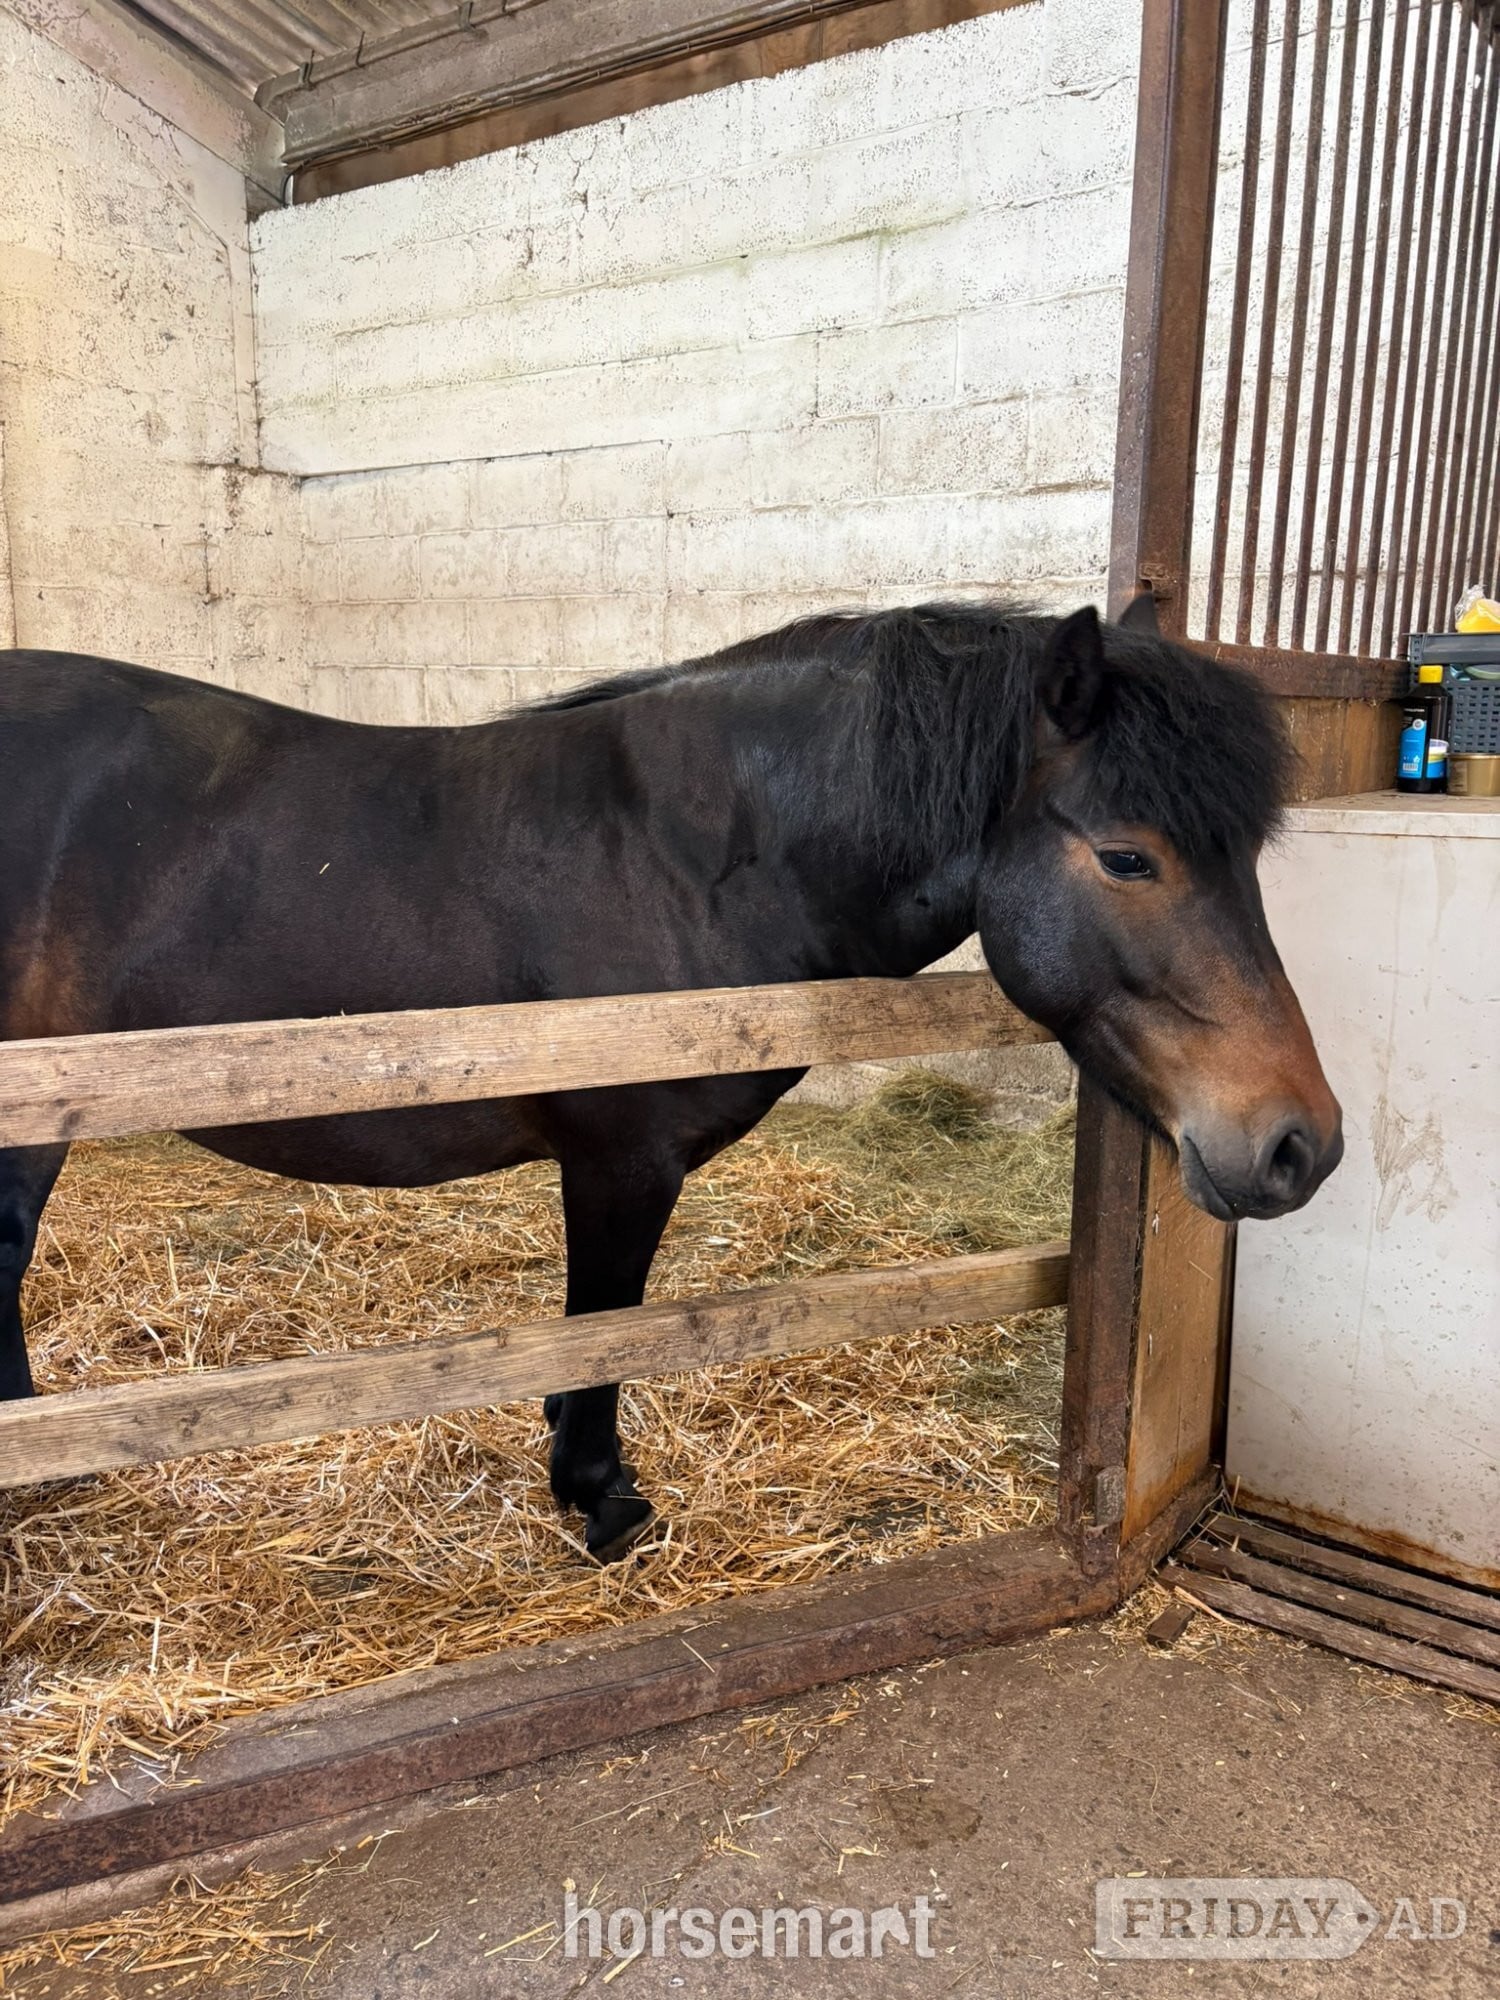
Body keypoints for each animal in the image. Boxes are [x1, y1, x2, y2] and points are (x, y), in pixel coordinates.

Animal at [0, 598, 1342, 1558]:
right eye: (1128, 857)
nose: (1300, 1143)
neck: (688, 853)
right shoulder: (620, 1162)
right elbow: (603, 1322)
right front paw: (600, 1497)